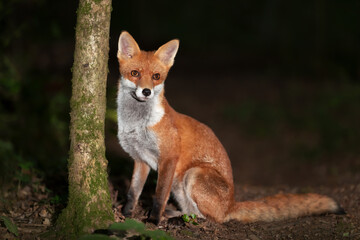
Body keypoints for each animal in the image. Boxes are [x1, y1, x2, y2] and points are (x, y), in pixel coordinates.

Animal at [116, 31, 344, 224]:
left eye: (156, 76)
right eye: (135, 73)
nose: (146, 92)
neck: (137, 123)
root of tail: (232, 205)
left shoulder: (169, 157)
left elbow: (159, 195)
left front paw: (153, 221)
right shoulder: (140, 159)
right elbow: (133, 192)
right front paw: (126, 213)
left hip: (193, 174)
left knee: (214, 219)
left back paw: (178, 219)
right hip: (180, 186)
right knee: (195, 212)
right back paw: (176, 215)